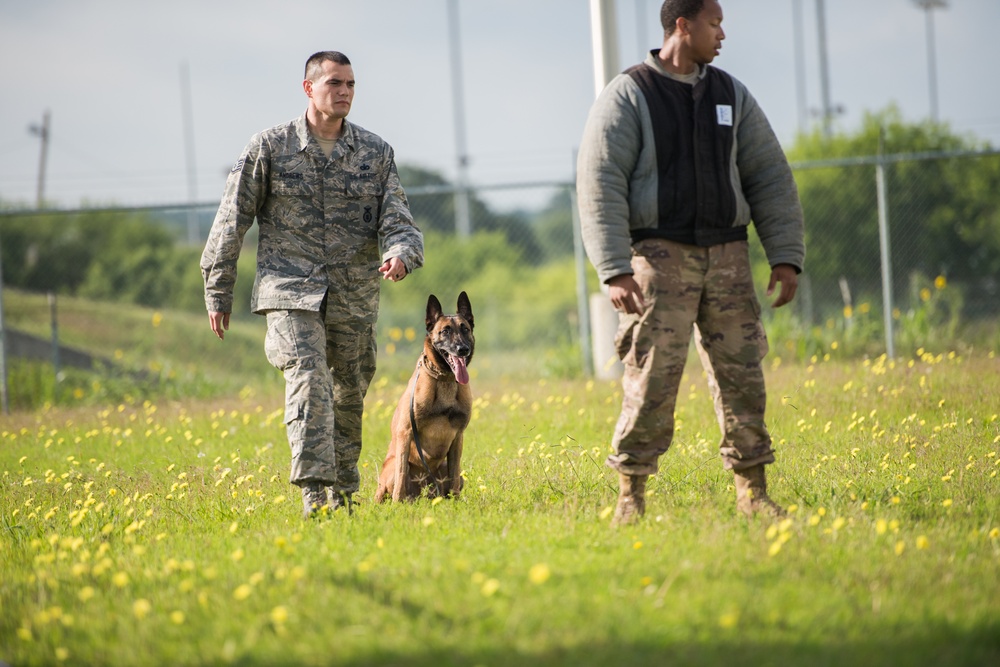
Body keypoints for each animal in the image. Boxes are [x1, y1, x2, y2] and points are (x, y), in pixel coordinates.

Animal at [374, 290, 474, 504]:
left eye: (465, 329)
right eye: (445, 331)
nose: (462, 349)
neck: (445, 379)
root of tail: (425, 494)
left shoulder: (458, 437)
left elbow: (454, 476)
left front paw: (456, 503)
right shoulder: (405, 432)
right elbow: (401, 475)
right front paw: (396, 504)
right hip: (392, 466)